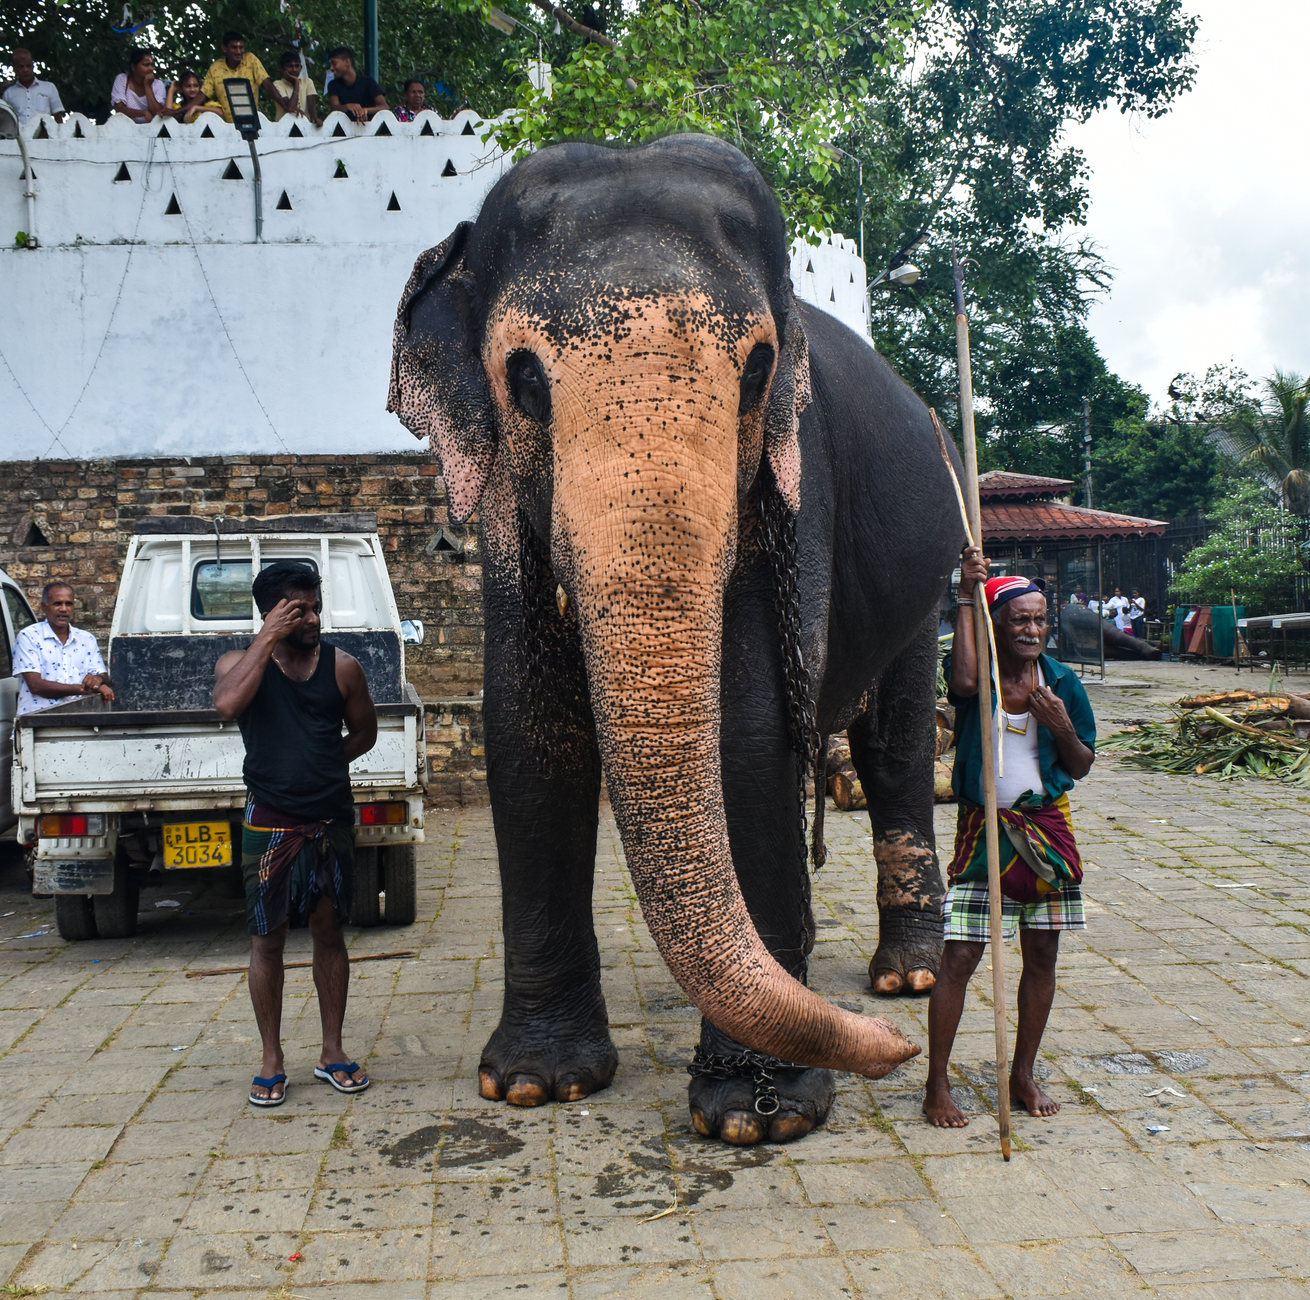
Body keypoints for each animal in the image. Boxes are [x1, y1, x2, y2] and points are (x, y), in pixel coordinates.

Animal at [388, 133, 964, 1146]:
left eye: (757, 370)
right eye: (524, 379)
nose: (895, 1052)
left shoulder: (794, 488)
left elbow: (749, 732)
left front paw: (761, 1114)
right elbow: (527, 730)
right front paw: (535, 1083)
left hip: (924, 583)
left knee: (895, 749)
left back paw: (907, 977)